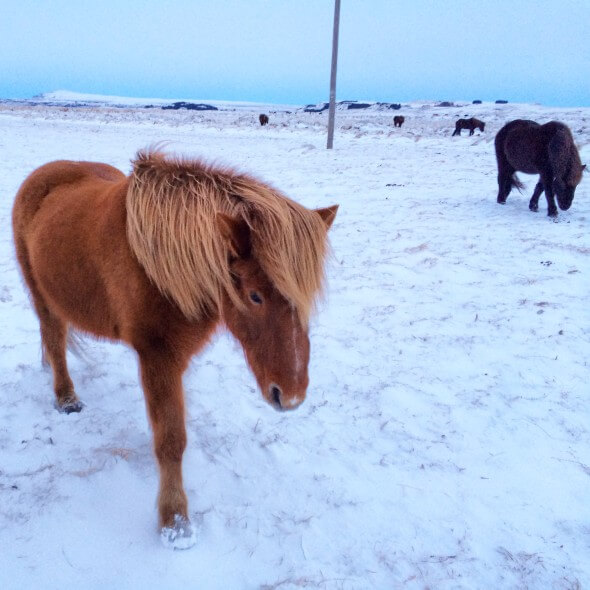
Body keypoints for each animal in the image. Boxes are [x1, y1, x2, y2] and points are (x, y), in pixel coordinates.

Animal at [11, 151, 340, 552]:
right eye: (255, 296)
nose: (290, 397)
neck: (159, 267)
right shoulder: (159, 358)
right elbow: (171, 440)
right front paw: (176, 522)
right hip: (43, 296)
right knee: (55, 339)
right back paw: (66, 398)